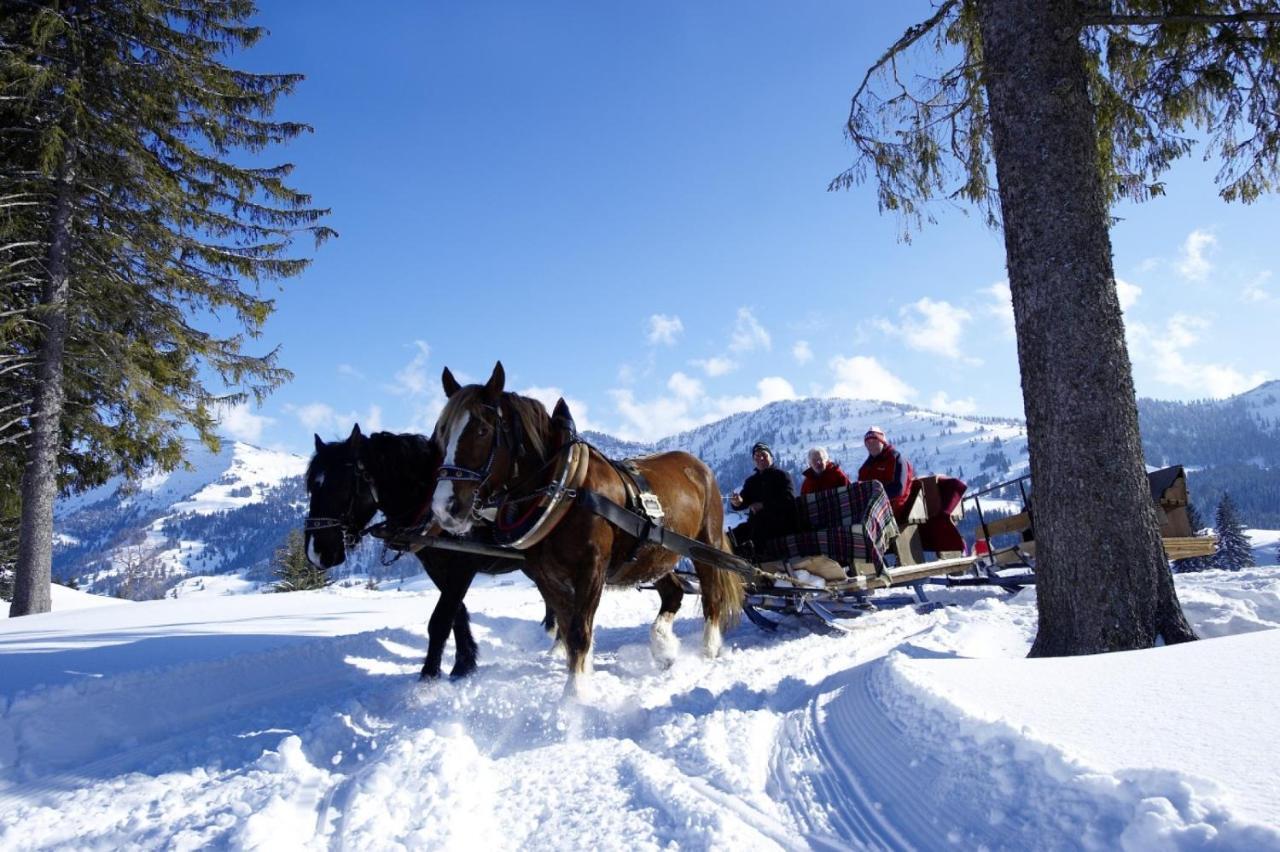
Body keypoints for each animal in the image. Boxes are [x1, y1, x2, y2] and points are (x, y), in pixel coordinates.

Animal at [308, 422, 550, 675]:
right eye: (311, 488)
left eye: (342, 487)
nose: (317, 552)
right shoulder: (435, 567)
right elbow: (457, 614)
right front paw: (464, 663)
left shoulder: (464, 565)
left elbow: (441, 619)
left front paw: (430, 674)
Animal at [435, 360, 747, 695]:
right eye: (442, 434)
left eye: (482, 430)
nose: (444, 507)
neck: (563, 488)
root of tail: (698, 466)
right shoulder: (547, 578)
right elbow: (568, 628)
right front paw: (579, 678)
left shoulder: (592, 569)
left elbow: (578, 632)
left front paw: (575, 695)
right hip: (655, 554)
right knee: (674, 592)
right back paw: (664, 647)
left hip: (706, 543)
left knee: (712, 593)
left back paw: (708, 648)